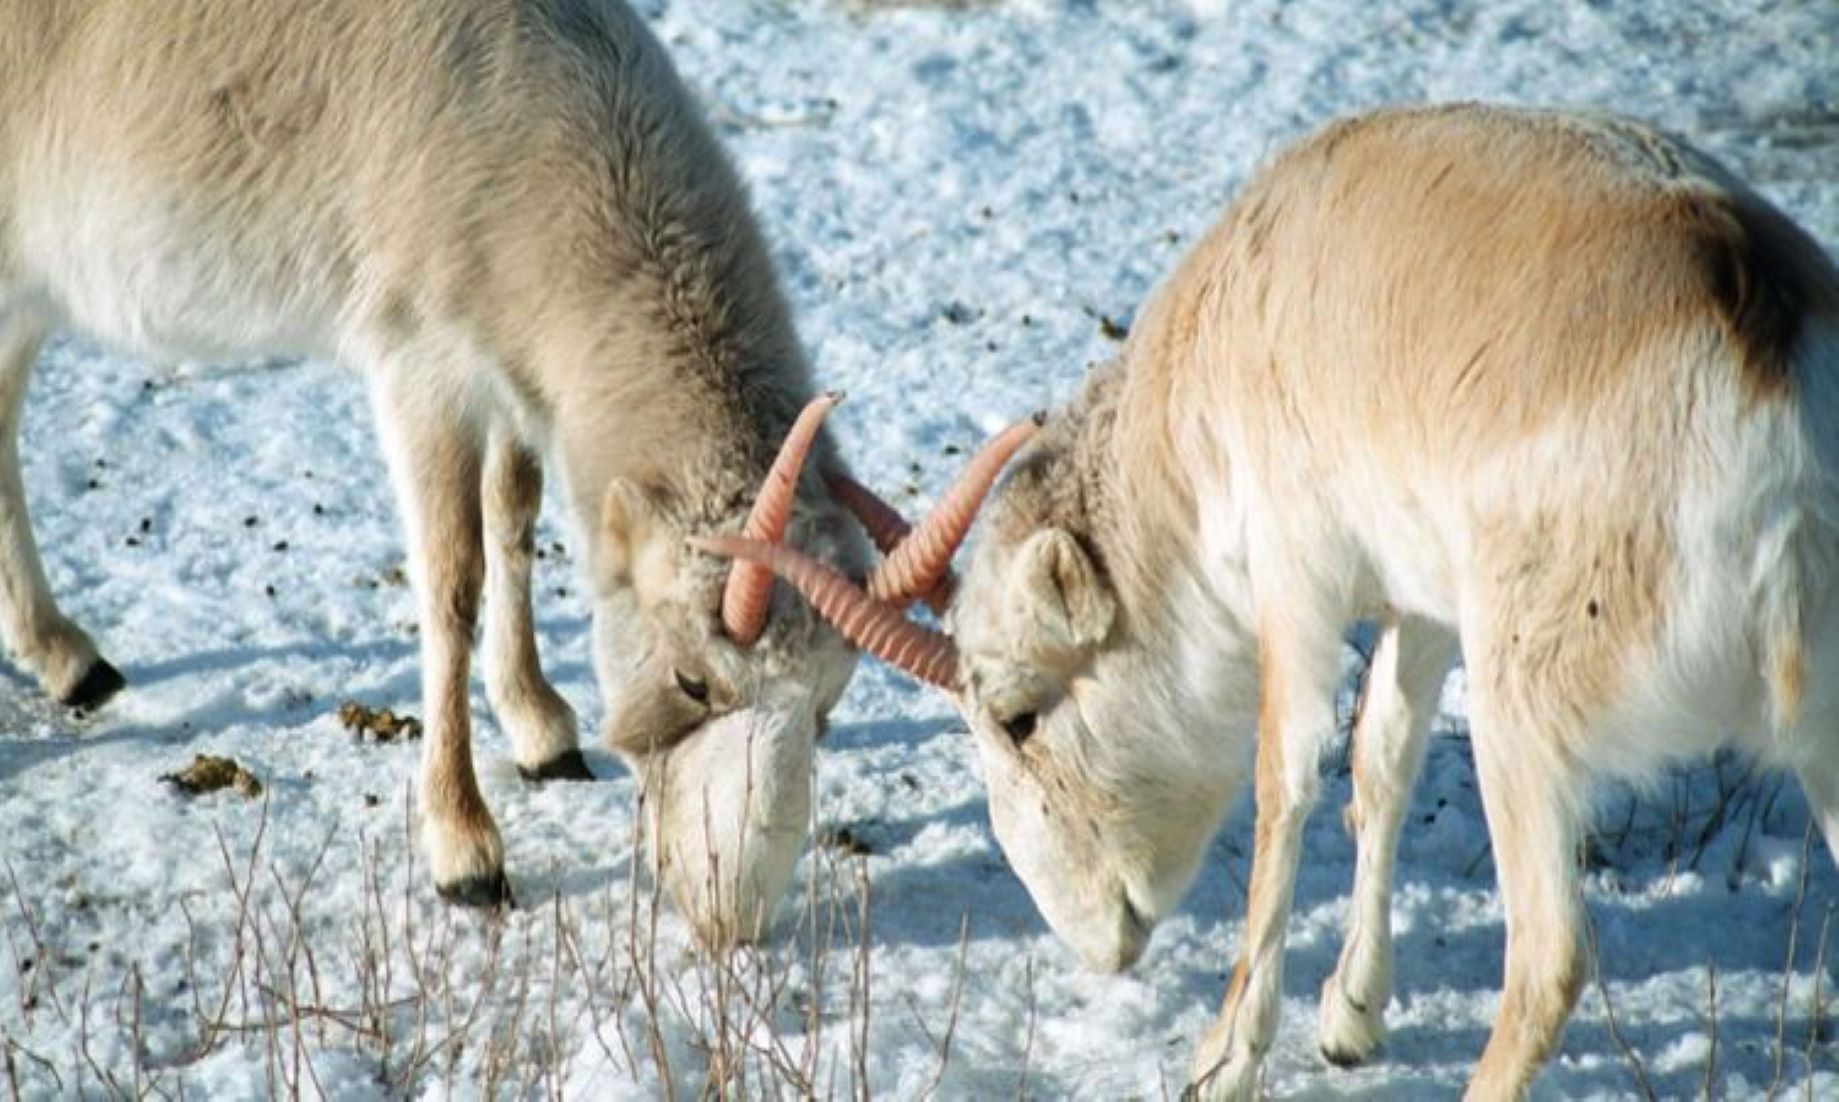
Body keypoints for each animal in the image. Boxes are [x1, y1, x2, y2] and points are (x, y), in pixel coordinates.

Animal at [0, 0, 879, 949]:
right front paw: (465, 851)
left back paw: (66, 657)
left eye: (826, 705)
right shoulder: (418, 363)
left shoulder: (506, 373)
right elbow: (454, 584)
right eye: (692, 678)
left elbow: (515, 516)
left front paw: (539, 725)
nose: (734, 916)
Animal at [698, 105, 1839, 1096]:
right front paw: (1349, 1021)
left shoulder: (1298, 578)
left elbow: (1286, 779)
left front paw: (1224, 1059)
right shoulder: (1420, 605)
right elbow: (1381, 763)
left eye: (1016, 716)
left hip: (1523, 724)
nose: (1094, 939)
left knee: (1549, 959)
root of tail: (1770, 395)